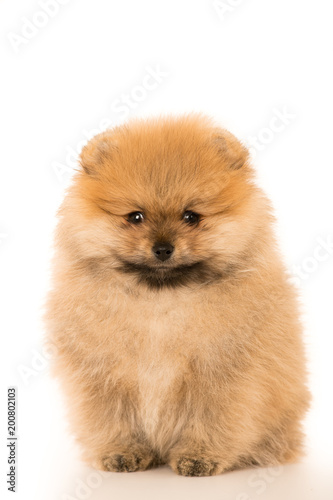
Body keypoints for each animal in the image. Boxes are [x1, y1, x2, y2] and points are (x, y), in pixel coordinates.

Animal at [45, 114, 310, 476]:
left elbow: (214, 418)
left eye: (191, 216)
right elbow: (111, 418)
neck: (162, 299)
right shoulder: (100, 374)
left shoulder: (223, 375)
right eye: (135, 216)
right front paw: (122, 452)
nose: (162, 248)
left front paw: (201, 456)